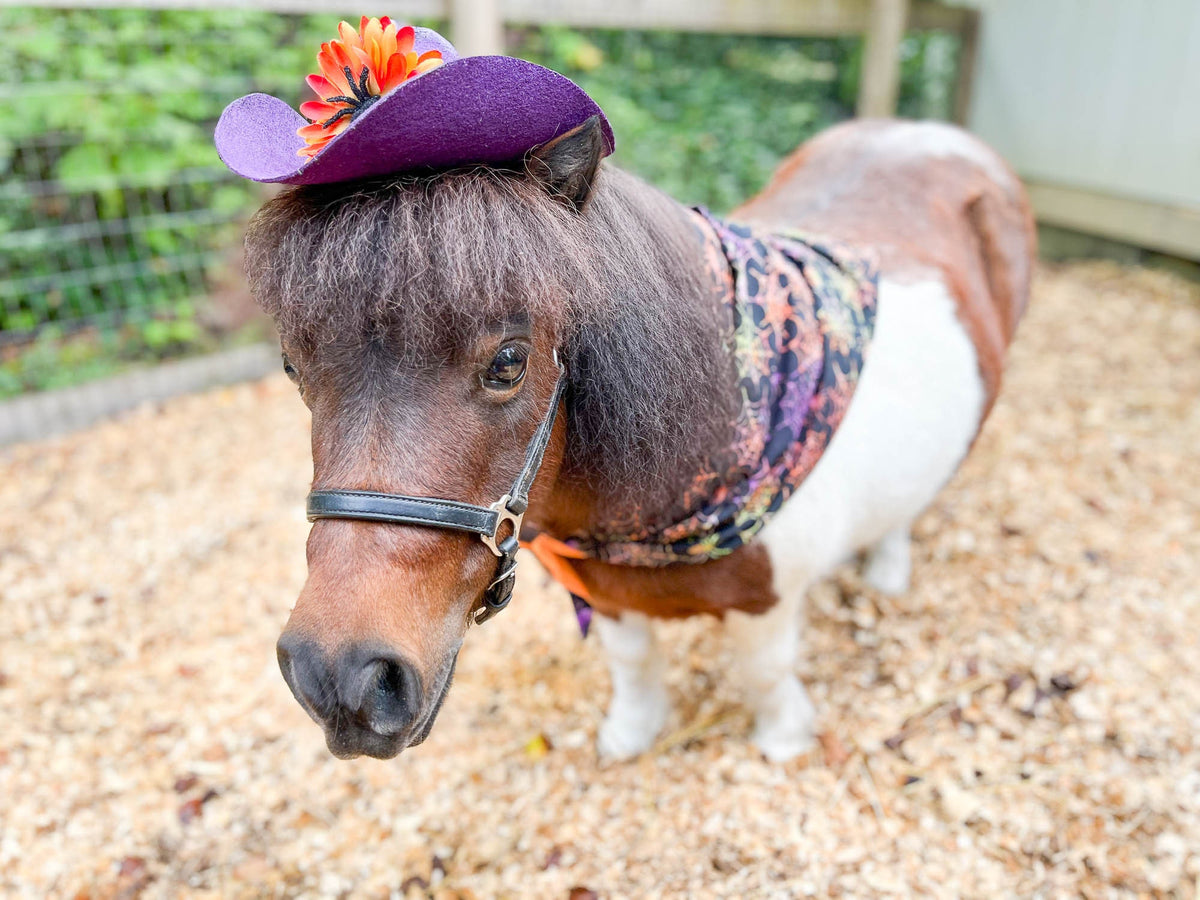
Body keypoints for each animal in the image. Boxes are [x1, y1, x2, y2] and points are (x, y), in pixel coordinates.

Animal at [245, 116, 1034, 761]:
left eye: (508, 362)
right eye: (293, 368)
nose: (339, 676)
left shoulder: (768, 603)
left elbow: (764, 672)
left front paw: (783, 740)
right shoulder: (606, 589)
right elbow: (632, 664)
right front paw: (632, 733)